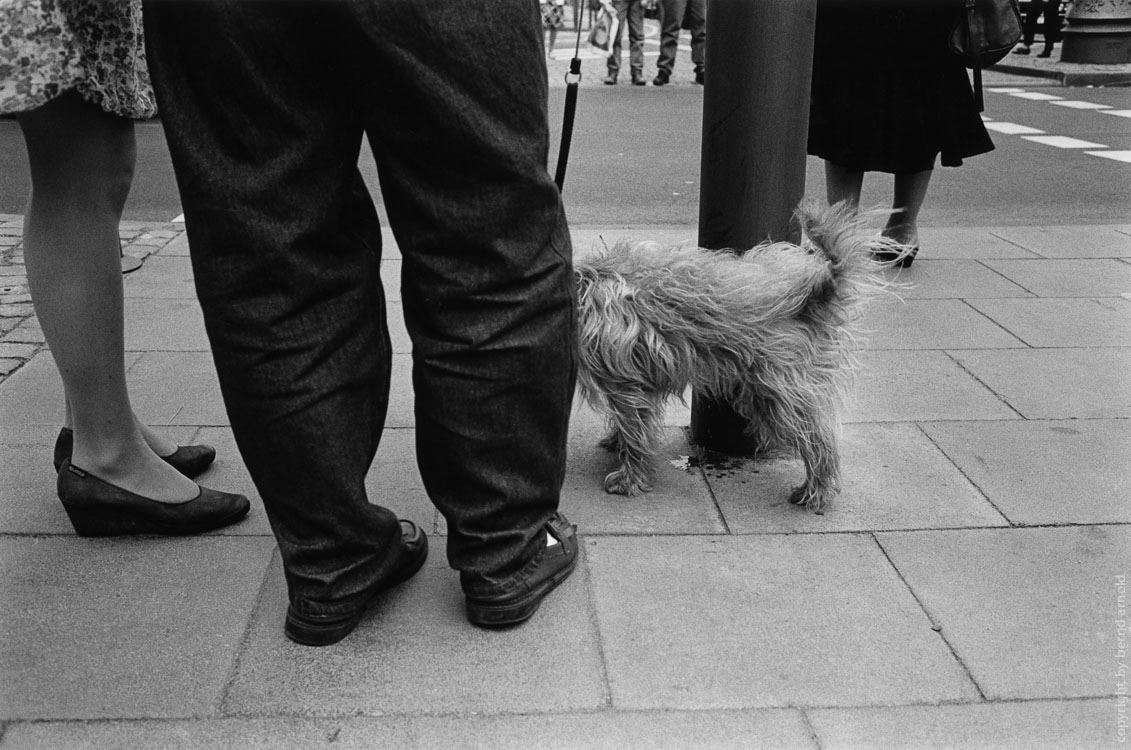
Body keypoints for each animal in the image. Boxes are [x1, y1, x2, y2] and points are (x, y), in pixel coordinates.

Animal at [579, 202, 895, 513]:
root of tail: (812, 295)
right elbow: (630, 426)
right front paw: (617, 444)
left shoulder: (627, 386)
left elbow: (634, 430)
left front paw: (629, 478)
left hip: (778, 391)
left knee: (818, 440)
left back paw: (815, 490)